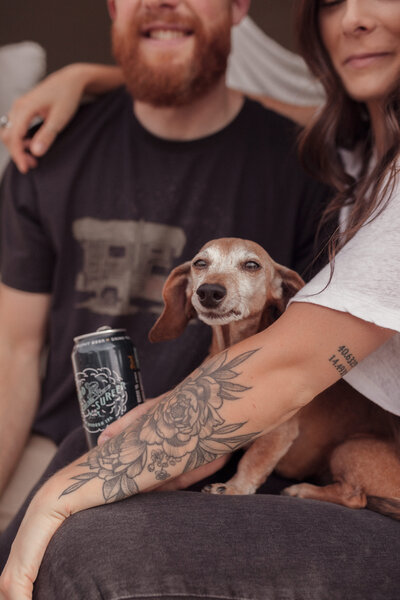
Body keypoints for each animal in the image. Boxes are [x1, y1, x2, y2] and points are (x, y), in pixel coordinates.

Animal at [148, 237, 400, 516]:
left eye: (251, 265)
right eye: (200, 263)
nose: (209, 291)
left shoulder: (280, 432)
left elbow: (253, 460)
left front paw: (233, 487)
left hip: (349, 448)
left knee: (356, 497)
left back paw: (301, 490)